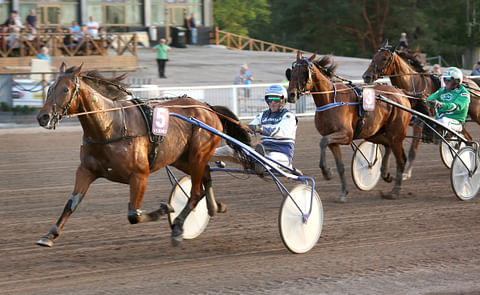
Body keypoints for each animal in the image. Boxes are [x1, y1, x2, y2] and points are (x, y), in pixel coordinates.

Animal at [36, 64, 251, 247]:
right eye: (49, 89)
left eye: (65, 90)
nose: (43, 117)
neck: (111, 126)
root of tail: (208, 108)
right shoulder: (85, 171)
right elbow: (72, 203)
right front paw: (49, 235)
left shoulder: (140, 175)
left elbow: (134, 214)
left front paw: (165, 209)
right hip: (182, 158)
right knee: (205, 176)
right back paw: (215, 207)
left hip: (198, 154)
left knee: (196, 192)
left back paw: (178, 227)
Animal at [286, 52, 410, 202]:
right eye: (292, 72)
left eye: (305, 72)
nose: (291, 94)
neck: (330, 99)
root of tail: (401, 94)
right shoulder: (333, 140)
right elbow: (339, 165)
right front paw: (343, 192)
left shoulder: (346, 135)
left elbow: (323, 142)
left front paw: (326, 172)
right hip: (375, 134)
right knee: (388, 145)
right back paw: (386, 174)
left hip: (396, 135)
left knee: (401, 159)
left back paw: (395, 191)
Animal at [362, 41, 478, 180]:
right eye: (374, 56)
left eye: (384, 58)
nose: (366, 76)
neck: (413, 87)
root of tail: (472, 82)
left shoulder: (419, 122)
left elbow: (413, 150)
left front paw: (406, 173)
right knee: (466, 139)